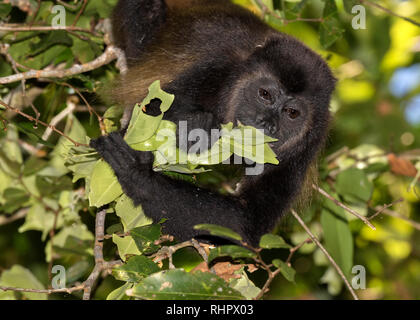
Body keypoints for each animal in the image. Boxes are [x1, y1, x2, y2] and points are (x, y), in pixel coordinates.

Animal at [90, 0, 336, 245]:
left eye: (292, 113)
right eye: (265, 94)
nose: (267, 123)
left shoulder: (309, 142)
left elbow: (246, 220)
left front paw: (138, 172)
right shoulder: (217, 69)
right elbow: (151, 109)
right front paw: (197, 127)